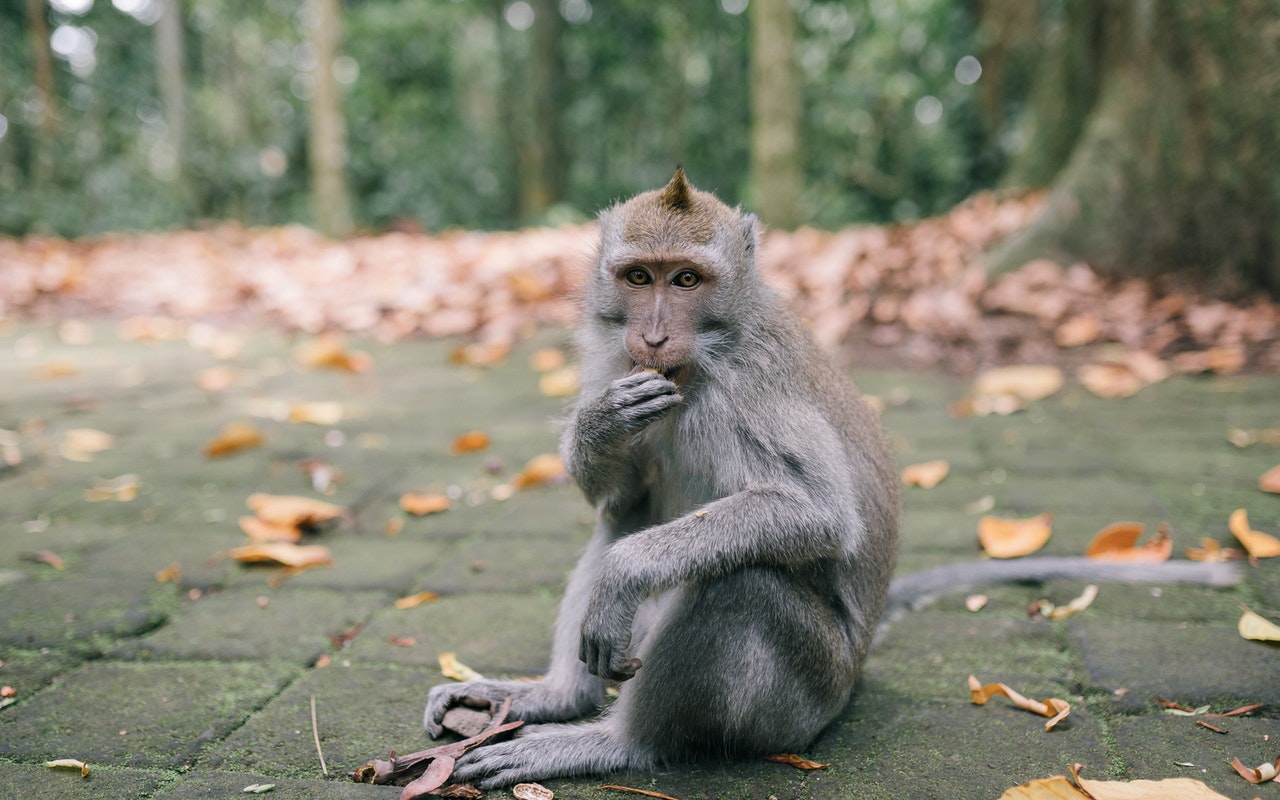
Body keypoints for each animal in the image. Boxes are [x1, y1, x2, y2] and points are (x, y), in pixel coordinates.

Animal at [424, 166, 1244, 788]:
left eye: (686, 279)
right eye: (637, 277)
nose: (652, 335)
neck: (703, 360)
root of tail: (859, 664)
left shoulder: (750, 392)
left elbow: (816, 513)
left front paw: (627, 574)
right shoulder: (620, 366)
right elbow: (624, 498)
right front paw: (599, 427)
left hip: (804, 697)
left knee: (743, 581)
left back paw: (616, 741)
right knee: (630, 524)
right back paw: (555, 698)